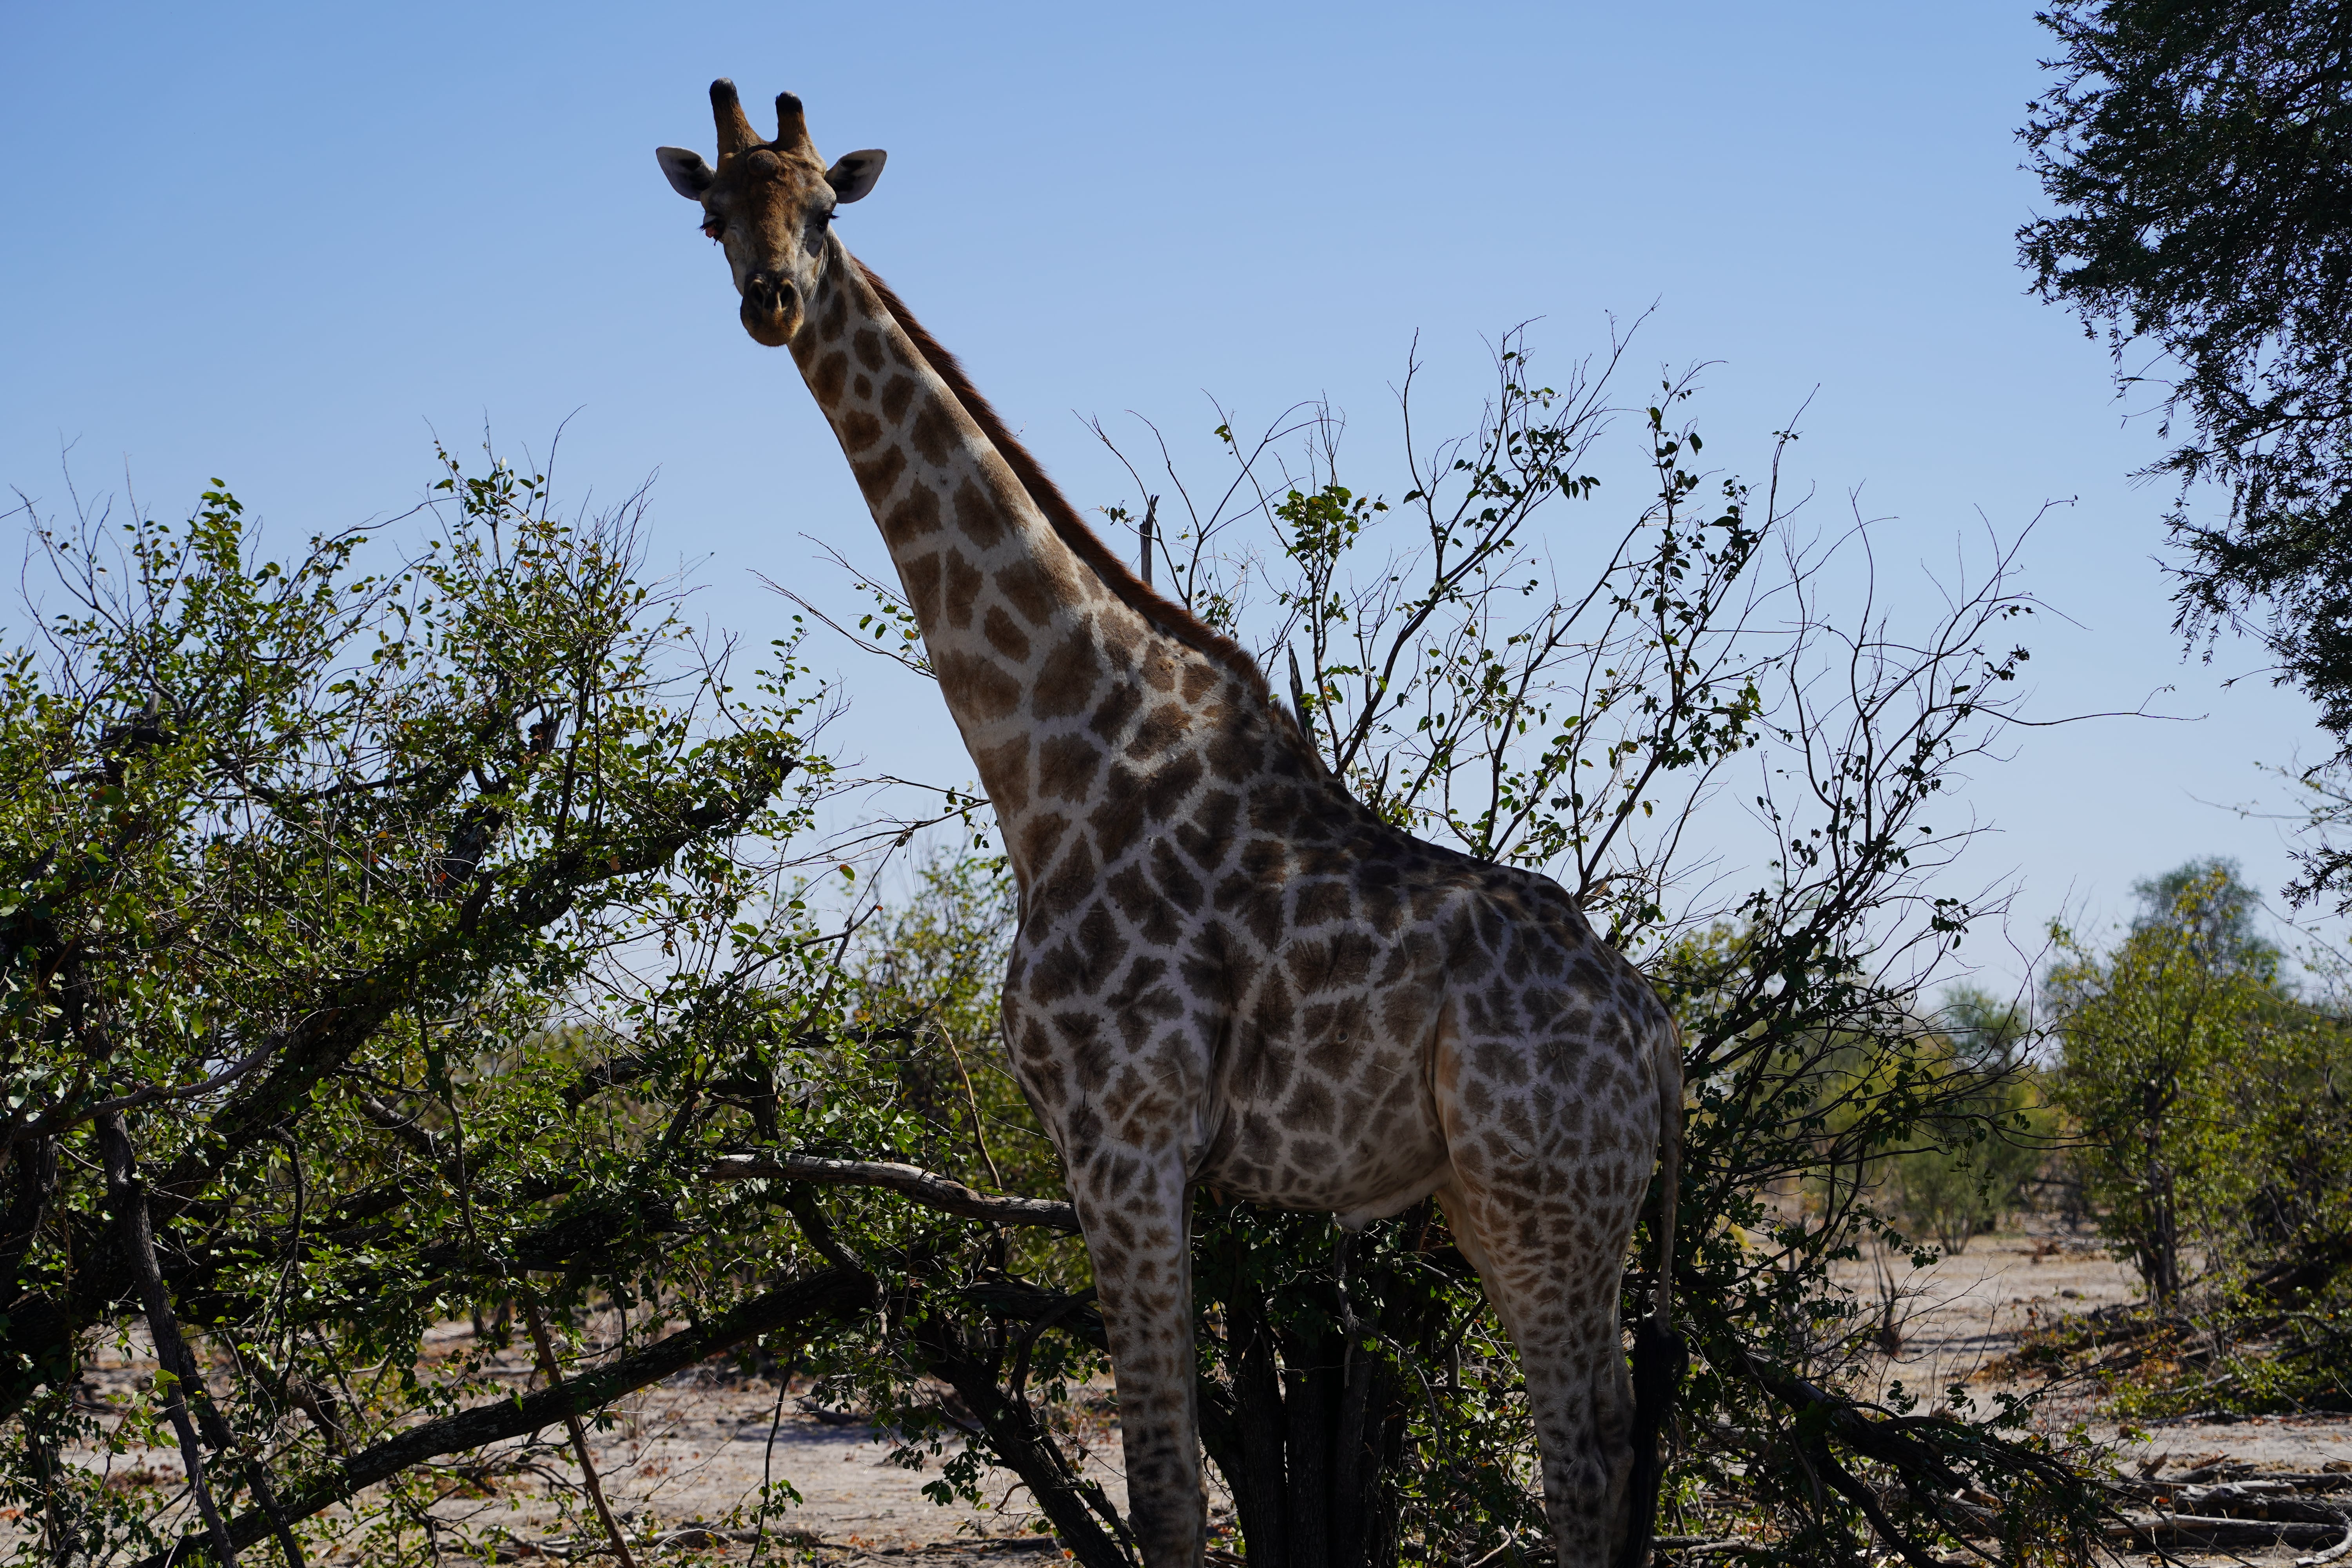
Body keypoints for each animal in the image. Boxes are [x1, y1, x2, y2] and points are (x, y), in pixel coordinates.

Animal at [655, 82, 1684, 1568]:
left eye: (829, 209)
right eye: (713, 217)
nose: (774, 300)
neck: (1056, 766)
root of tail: (1657, 1037)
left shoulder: (1124, 1138)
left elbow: (1162, 1494)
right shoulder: (1134, 1158)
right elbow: (1172, 1487)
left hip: (1541, 1194)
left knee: (1581, 1458)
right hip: (1520, 1205)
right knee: (1608, 1442)